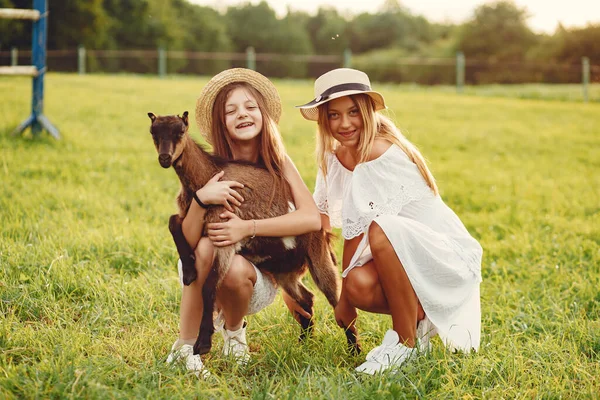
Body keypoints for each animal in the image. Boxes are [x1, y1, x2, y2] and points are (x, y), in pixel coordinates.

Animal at [149, 110, 360, 356]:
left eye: (180, 131)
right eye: (154, 132)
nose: (165, 158)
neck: (208, 176)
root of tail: (324, 230)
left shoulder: (225, 234)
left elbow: (209, 285)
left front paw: (203, 344)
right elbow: (173, 222)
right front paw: (190, 271)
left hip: (318, 258)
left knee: (337, 300)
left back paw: (354, 351)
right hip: (284, 272)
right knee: (306, 299)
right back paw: (305, 343)